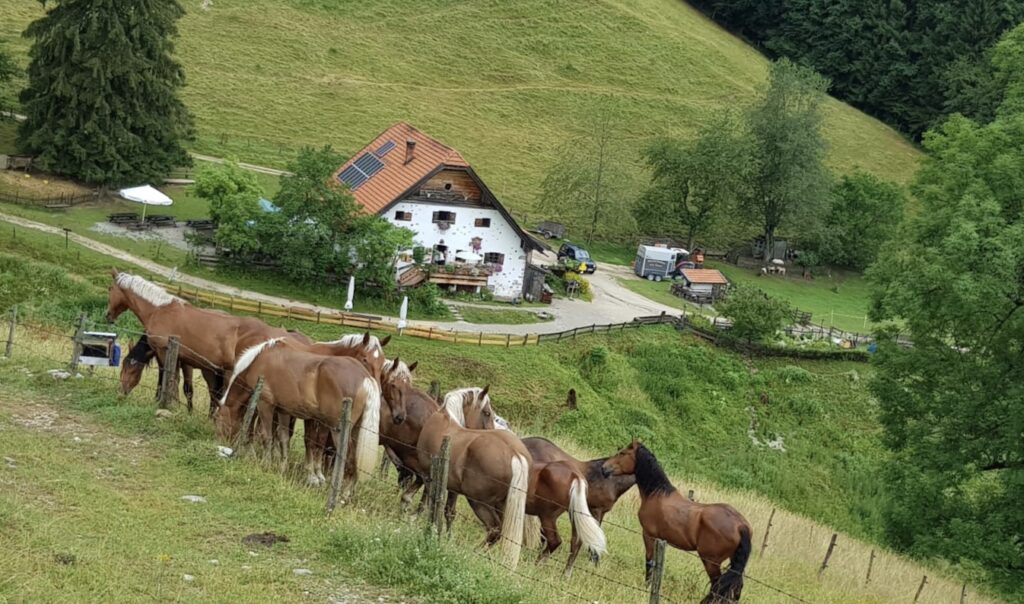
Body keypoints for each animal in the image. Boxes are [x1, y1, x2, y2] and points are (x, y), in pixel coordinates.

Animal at [214, 337, 385, 493]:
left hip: (338, 430)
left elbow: (267, 436)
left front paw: (266, 464)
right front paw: (282, 467)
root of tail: (365, 377)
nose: (220, 442)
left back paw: (342, 493)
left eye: (218, 419)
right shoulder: (283, 411)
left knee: (347, 458)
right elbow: (283, 438)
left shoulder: (265, 404)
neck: (262, 358)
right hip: (355, 431)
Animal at [416, 387, 531, 569]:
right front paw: (448, 538)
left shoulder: (428, 477)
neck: (444, 419)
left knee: (494, 529)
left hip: (478, 502)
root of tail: (514, 454)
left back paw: (475, 552)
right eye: (487, 412)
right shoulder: (452, 488)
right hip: (502, 505)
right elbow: (449, 512)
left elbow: (426, 503)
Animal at [601, 440, 752, 603]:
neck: (657, 494)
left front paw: (646, 587)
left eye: (622, 453)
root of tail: (741, 525)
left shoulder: (649, 535)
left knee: (717, 586)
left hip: (711, 562)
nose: (604, 468)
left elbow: (650, 562)